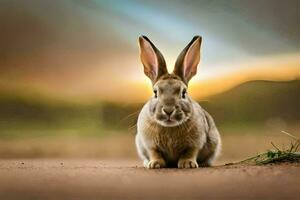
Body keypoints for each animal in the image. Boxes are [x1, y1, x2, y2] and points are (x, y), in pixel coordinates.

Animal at [135, 36, 220, 169]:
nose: (168, 110)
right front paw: (154, 164)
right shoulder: (149, 145)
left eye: (184, 92)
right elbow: (154, 153)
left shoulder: (196, 143)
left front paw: (188, 164)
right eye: (155, 92)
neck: (170, 127)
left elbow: (190, 152)